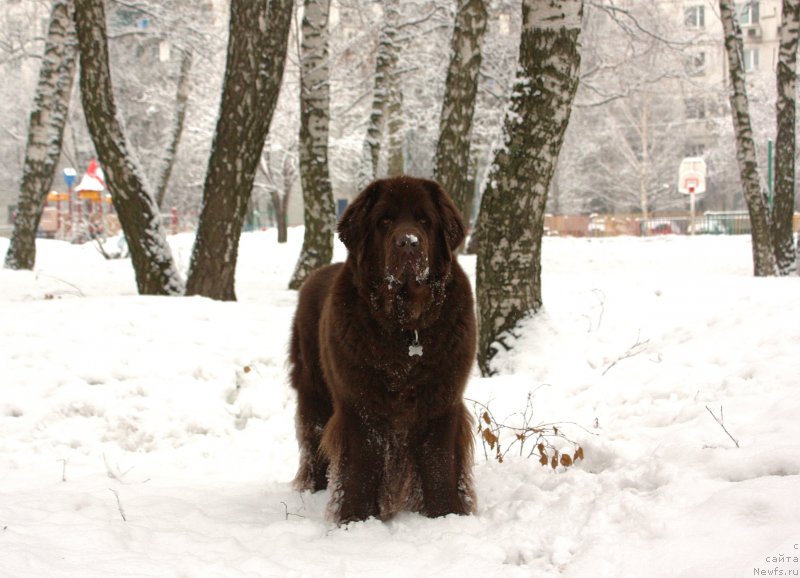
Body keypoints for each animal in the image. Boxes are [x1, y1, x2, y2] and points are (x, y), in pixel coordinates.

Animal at [290, 176, 476, 520]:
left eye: (425, 221)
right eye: (384, 221)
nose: (408, 243)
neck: (405, 329)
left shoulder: (442, 398)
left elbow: (438, 460)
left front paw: (447, 515)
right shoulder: (360, 401)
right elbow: (363, 461)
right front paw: (354, 519)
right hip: (314, 388)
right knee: (314, 438)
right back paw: (315, 490)